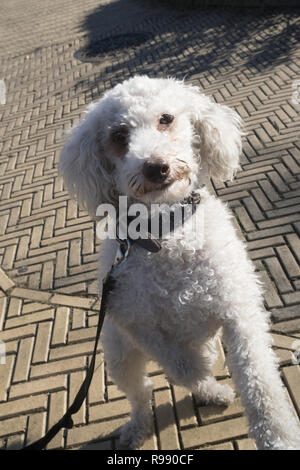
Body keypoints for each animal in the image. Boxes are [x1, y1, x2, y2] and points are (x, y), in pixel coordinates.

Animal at [59, 75, 300, 450]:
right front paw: (204, 374)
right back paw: (143, 425)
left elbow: (259, 381)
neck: (166, 232)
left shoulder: (238, 311)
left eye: (166, 118)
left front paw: (278, 436)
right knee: (141, 393)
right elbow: (183, 367)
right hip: (119, 355)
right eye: (118, 136)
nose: (156, 166)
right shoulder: (139, 325)